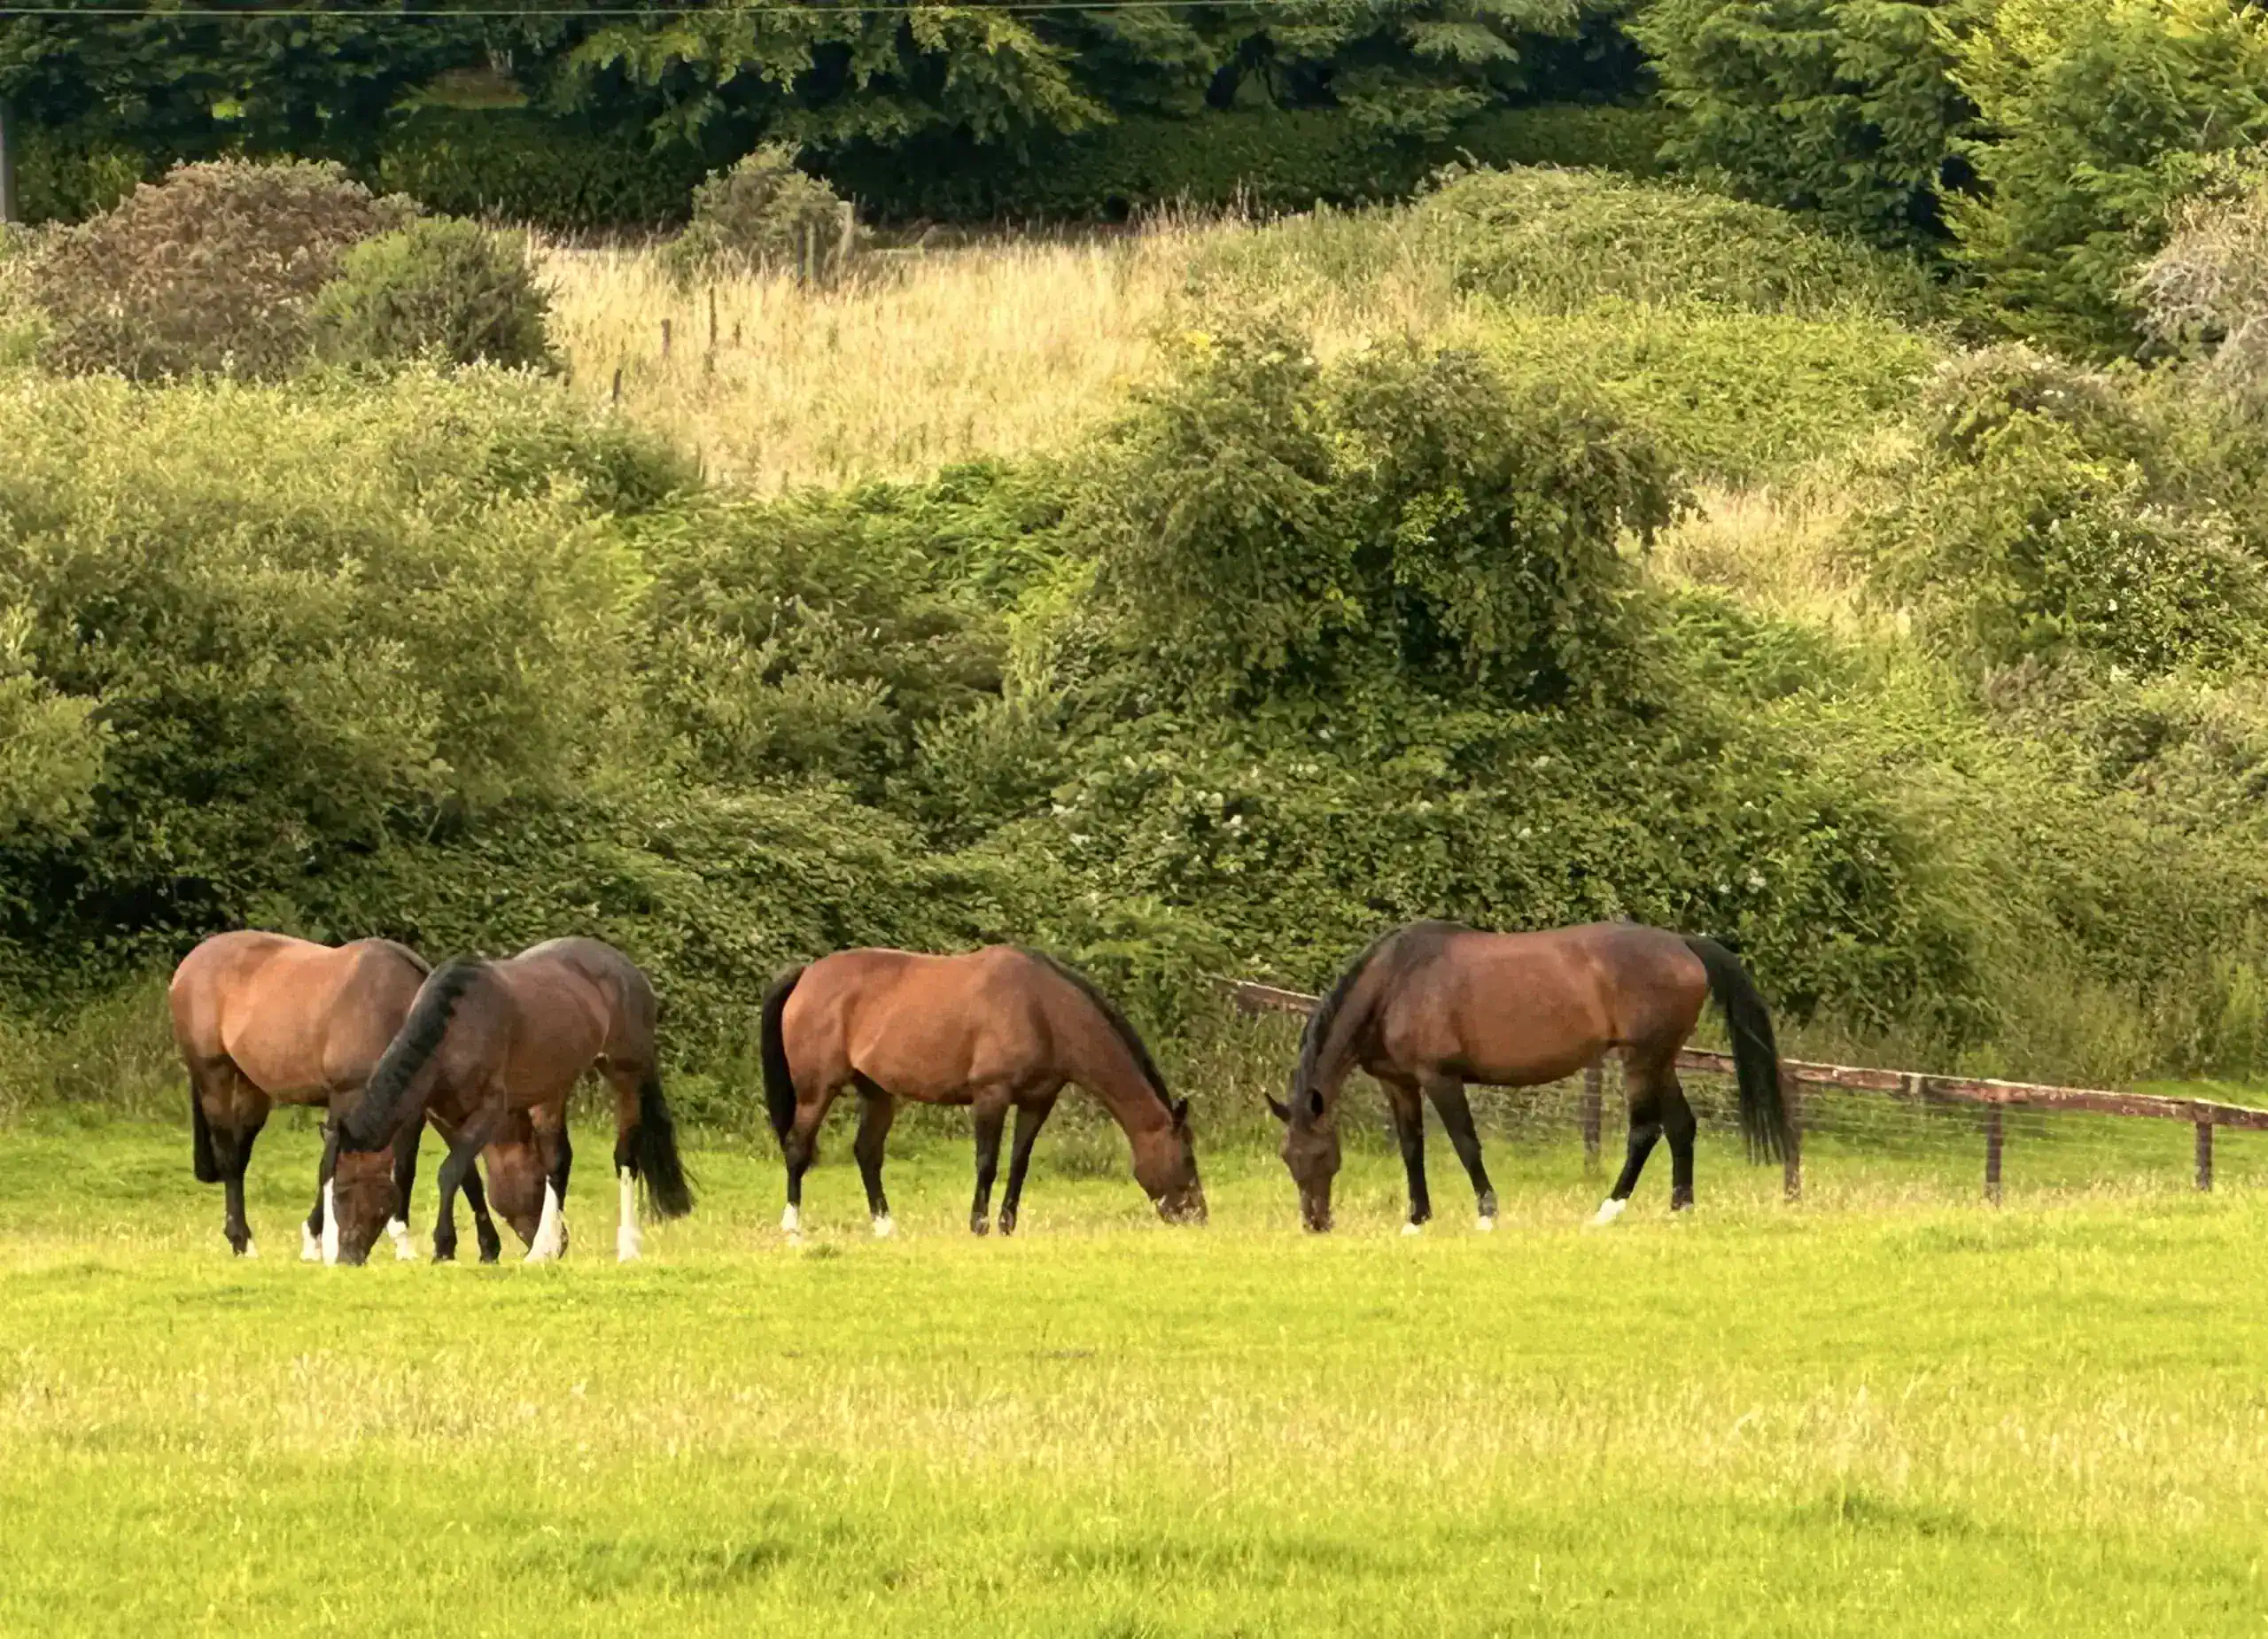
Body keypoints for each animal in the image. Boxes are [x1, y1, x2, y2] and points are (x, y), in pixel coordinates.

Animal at [170, 930, 533, 1260]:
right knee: (230, 1157)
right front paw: (317, 1241)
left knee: (240, 1155)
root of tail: (190, 963)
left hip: (252, 1089)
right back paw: (242, 1243)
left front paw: (480, 1246)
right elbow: (329, 1168)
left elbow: (451, 1169)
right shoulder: (346, 1099)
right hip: (215, 1078)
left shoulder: (420, 1109)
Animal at [324, 936, 693, 1266]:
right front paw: (473, 1248)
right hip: (552, 1088)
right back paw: (542, 1250)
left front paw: (442, 1248)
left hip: (625, 1075)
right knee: (557, 1162)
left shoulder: (488, 1111)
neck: (454, 1028)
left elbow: (448, 1173)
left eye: (343, 1192)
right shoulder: (445, 1117)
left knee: (625, 1158)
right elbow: (467, 1176)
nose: (345, 1257)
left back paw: (627, 1248)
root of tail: (627, 968)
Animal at [759, 946, 1205, 1238]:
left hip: (879, 1094)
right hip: (817, 1090)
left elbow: (1019, 1164)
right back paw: (792, 1225)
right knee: (797, 1148)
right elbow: (987, 1163)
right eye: (1186, 1156)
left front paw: (1007, 1226)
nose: (1197, 1216)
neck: (1041, 1009)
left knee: (867, 1154)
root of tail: (807, 974)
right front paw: (979, 1225)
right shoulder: (991, 1096)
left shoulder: (1036, 1102)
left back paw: (885, 1226)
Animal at [1270, 920, 1789, 1234]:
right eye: (1287, 1158)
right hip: (1660, 1062)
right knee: (1682, 1126)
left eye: (1322, 1155)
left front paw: (1486, 1214)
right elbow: (1411, 1149)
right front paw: (1416, 1220)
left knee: (1646, 1130)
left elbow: (1465, 1144)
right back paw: (1680, 1209)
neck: (1397, 982)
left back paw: (1607, 1210)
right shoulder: (1399, 1084)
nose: (1315, 1224)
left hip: (1642, 1060)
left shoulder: (1441, 1078)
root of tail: (1683, 944)